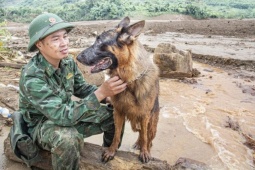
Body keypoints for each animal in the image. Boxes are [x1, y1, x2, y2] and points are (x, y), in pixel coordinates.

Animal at [76, 16, 159, 163]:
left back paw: (145, 147)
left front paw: (144, 152)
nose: (77, 57)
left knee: (148, 138)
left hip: (152, 124)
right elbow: (116, 134)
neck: (129, 80)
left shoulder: (144, 115)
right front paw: (111, 151)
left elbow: (144, 136)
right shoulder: (118, 112)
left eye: (100, 41)